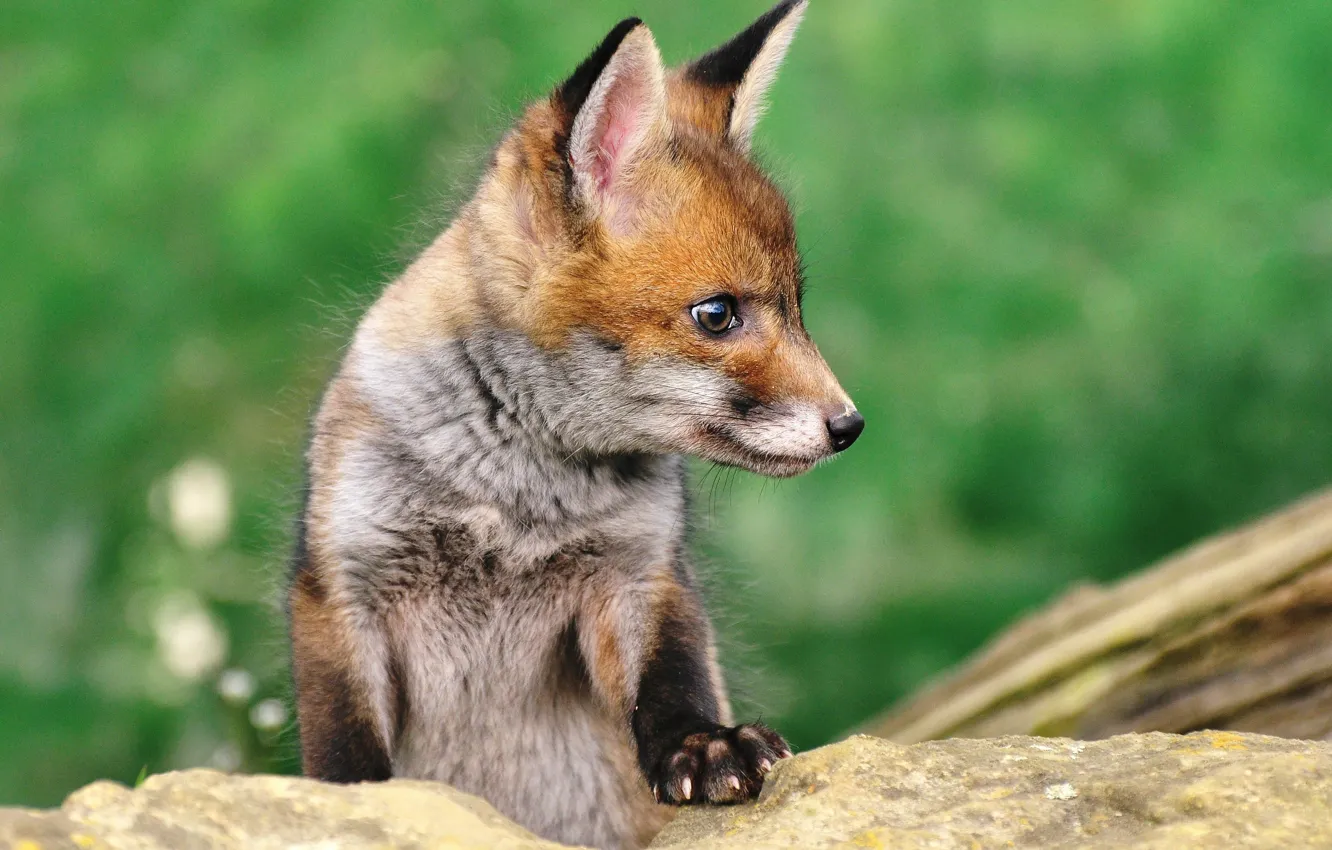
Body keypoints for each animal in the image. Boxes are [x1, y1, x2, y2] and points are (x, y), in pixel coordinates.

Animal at [287, 2, 863, 848]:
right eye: (718, 315)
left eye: (796, 307)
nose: (850, 425)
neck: (515, 500)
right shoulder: (341, 585)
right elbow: (342, 748)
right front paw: (351, 810)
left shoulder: (639, 574)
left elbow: (673, 679)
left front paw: (703, 745)